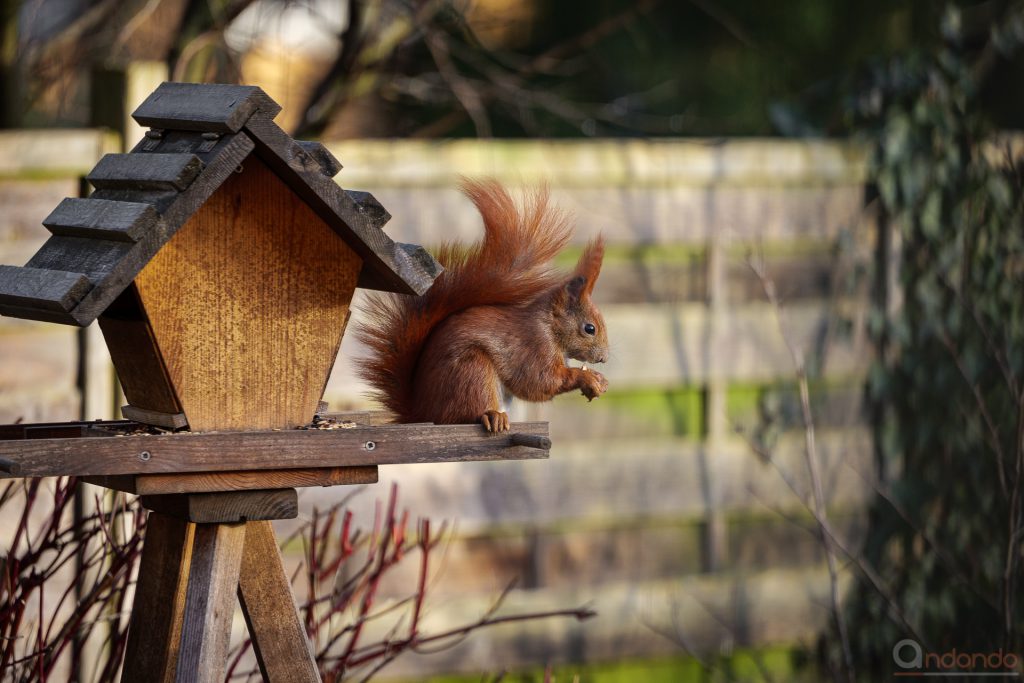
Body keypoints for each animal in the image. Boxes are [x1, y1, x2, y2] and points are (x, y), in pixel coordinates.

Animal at [356, 178, 606, 432]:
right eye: (589, 328)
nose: (603, 359)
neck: (549, 327)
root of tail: (423, 413)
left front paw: (599, 381)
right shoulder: (533, 346)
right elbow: (538, 382)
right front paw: (587, 378)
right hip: (472, 372)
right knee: (466, 413)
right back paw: (491, 415)